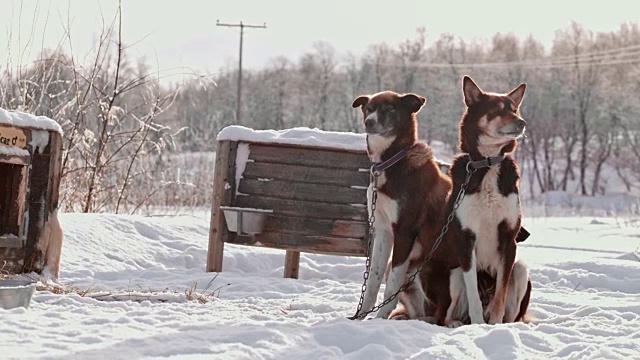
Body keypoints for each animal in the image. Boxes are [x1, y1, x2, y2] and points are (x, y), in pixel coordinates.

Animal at [350, 91, 450, 320]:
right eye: (369, 108)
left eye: (390, 109)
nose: (369, 122)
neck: (390, 163)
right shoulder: (383, 231)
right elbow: (373, 280)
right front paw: (360, 316)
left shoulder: (405, 232)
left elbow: (392, 285)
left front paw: (380, 317)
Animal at [444, 75, 528, 324]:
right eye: (497, 110)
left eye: (514, 109)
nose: (522, 123)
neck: (488, 164)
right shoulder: (466, 240)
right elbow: (473, 295)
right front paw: (479, 325)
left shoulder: (508, 241)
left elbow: (500, 295)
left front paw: (494, 325)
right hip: (455, 274)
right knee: (448, 315)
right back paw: (457, 323)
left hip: (521, 270)